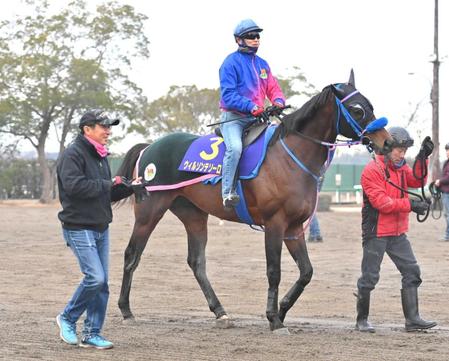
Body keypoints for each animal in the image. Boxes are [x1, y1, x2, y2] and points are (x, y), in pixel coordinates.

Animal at [115, 69, 392, 332]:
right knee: (132, 254)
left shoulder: (294, 228)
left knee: (197, 262)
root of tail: (148, 147)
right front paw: (274, 318)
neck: (289, 158)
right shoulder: (274, 224)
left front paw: (282, 309)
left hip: (193, 215)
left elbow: (306, 272)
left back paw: (220, 312)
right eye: (357, 109)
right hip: (149, 211)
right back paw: (126, 310)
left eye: (370, 104)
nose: (388, 142)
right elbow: (274, 271)